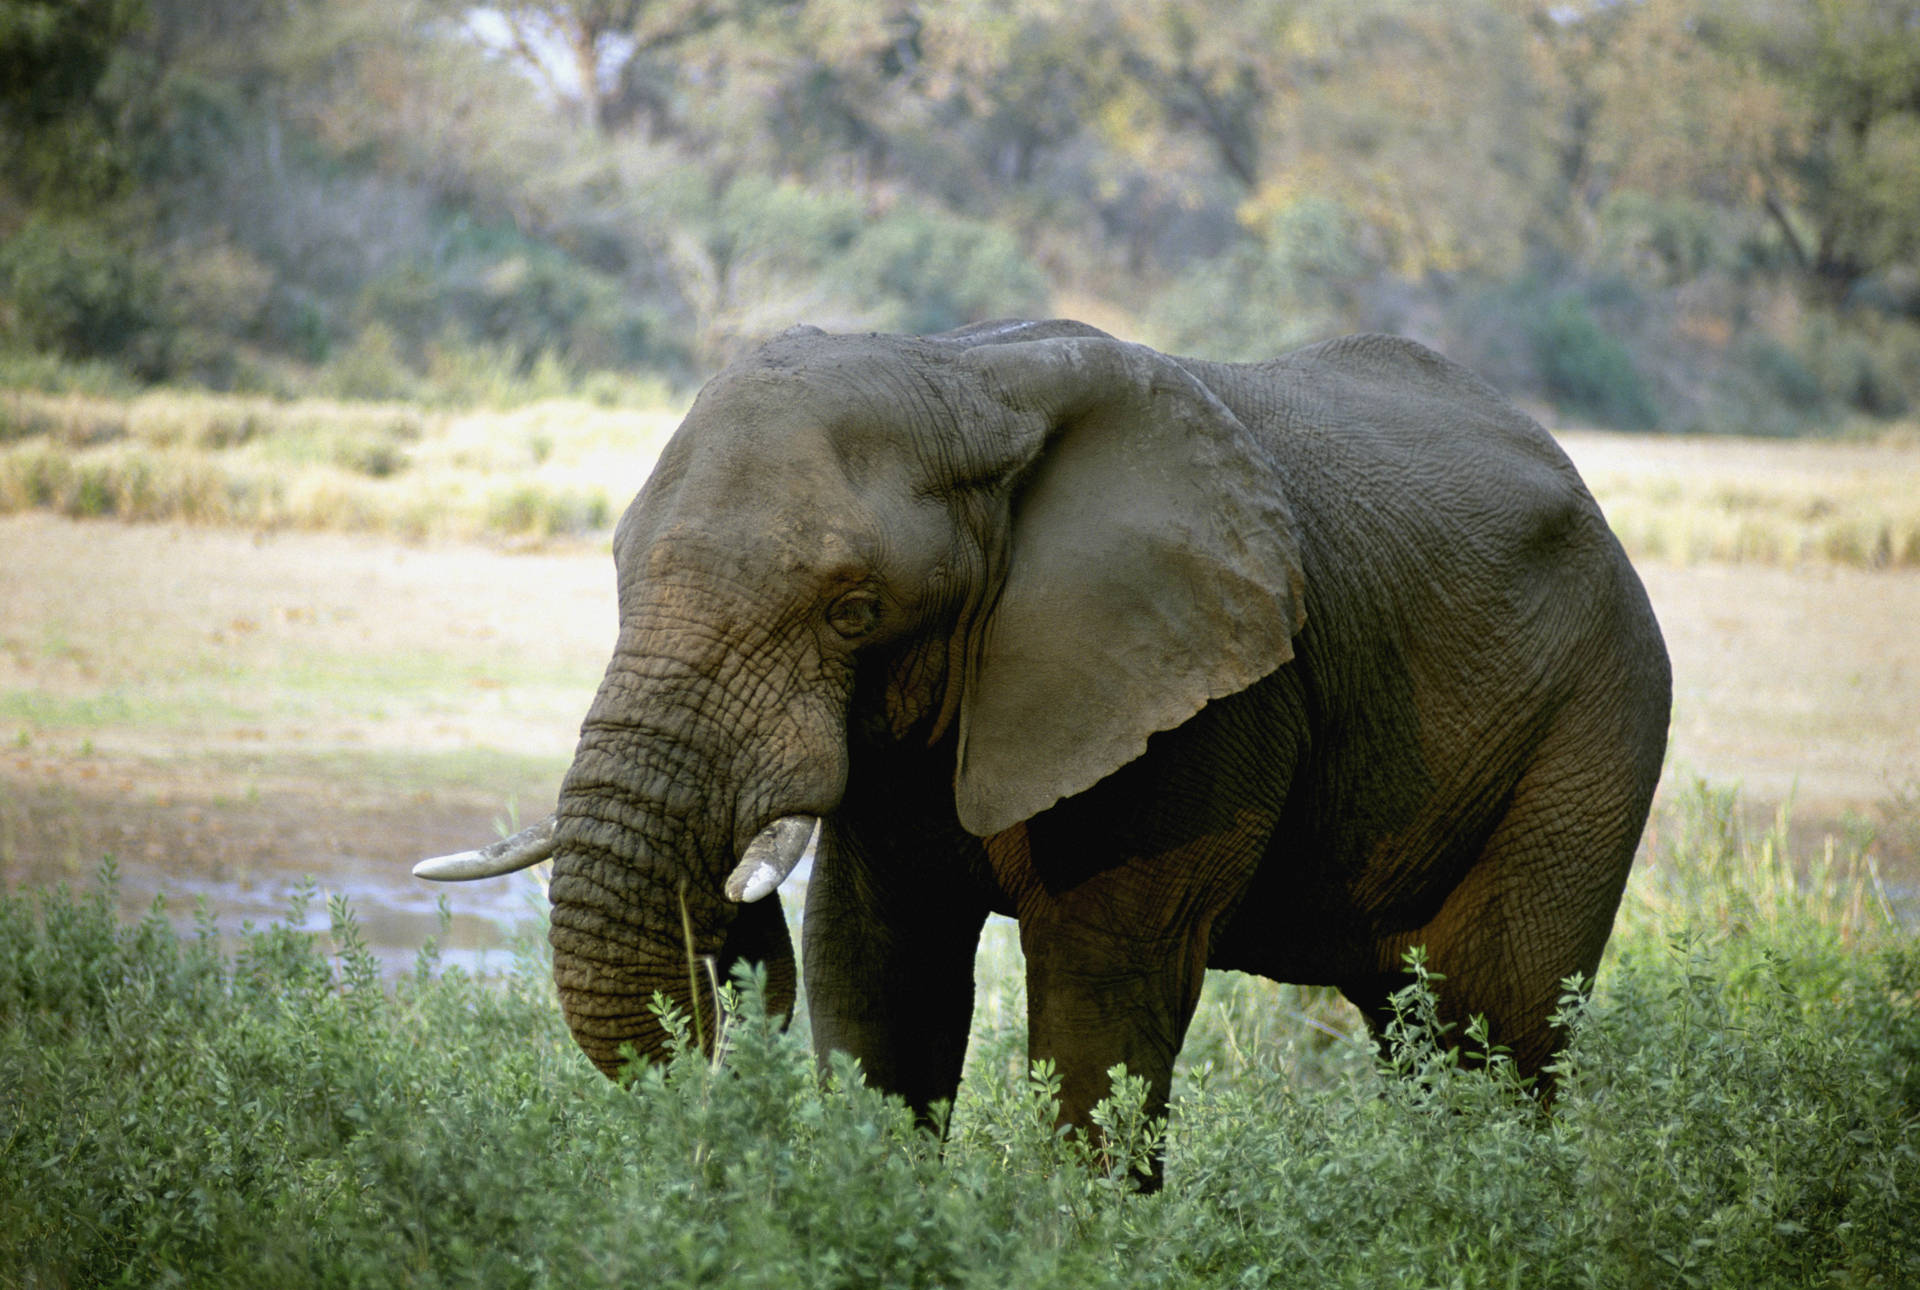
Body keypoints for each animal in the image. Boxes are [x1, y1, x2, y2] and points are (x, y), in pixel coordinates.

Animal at [417, 318, 1671, 1183]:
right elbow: (875, 969)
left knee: (1497, 1029)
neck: (962, 379)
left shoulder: (1197, 700)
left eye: (853, 611)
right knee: (1422, 1038)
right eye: (618, 570)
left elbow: (1096, 999)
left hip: (1598, 716)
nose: (731, 939)